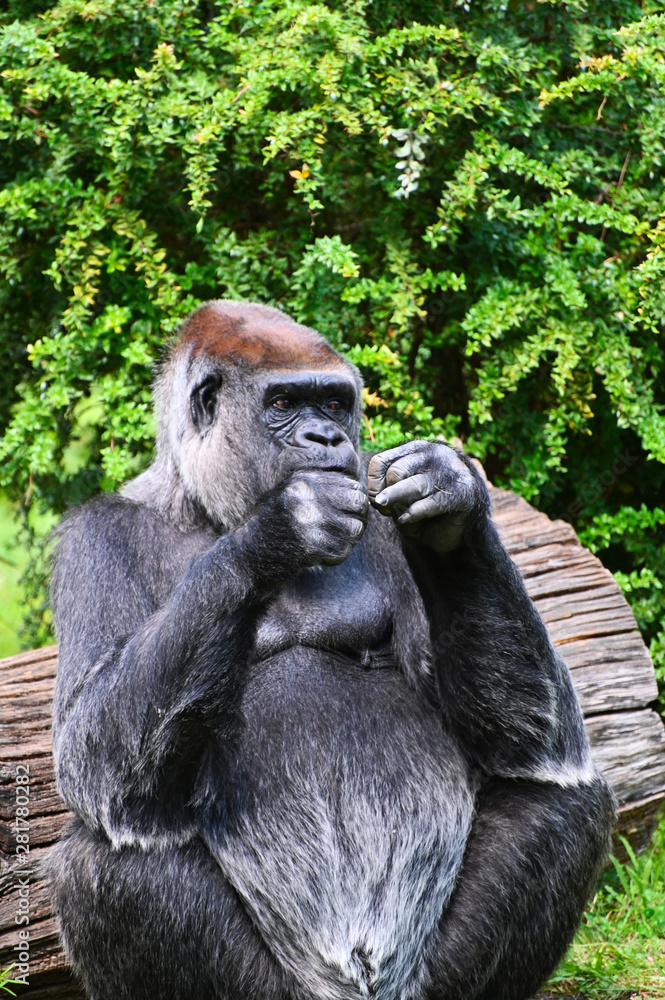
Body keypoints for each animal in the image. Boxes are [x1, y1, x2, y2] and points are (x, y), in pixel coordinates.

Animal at [49, 300, 616, 1000]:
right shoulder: (90, 540)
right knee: (98, 863)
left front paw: (453, 504)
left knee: (563, 796)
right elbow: (90, 754)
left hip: (427, 978)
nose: (326, 440)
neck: (204, 505)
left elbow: (527, 731)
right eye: (285, 402)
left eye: (336, 402)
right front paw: (277, 531)